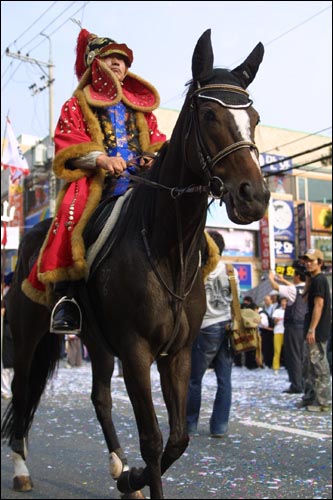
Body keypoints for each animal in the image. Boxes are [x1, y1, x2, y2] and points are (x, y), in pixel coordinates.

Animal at [0, 29, 270, 498]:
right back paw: (20, 467)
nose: (252, 196)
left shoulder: (176, 352)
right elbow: (153, 440)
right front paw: (138, 474)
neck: (167, 249)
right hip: (27, 329)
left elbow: (178, 439)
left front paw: (131, 476)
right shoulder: (136, 350)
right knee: (20, 389)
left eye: (252, 116)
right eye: (209, 115)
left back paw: (119, 469)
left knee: (100, 397)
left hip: (96, 339)